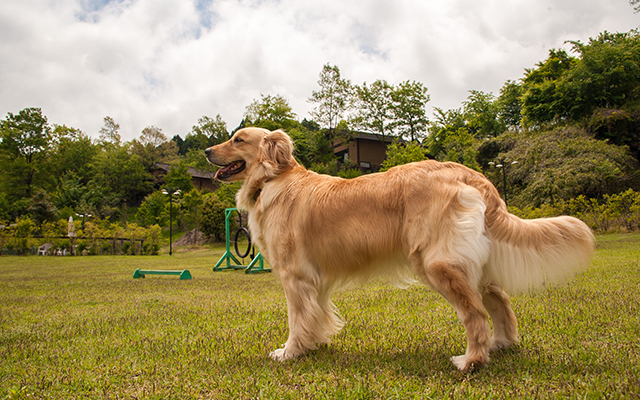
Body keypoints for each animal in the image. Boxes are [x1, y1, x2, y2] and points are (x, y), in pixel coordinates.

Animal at [205, 128, 596, 372]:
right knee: (500, 299)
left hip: (439, 263)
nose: (207, 151)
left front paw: (290, 352)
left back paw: (471, 361)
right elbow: (316, 316)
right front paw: (313, 344)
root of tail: (466, 172)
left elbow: (297, 319)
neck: (274, 178)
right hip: (470, 262)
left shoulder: (294, 275)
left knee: (476, 315)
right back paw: (503, 343)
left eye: (238, 139)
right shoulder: (315, 281)